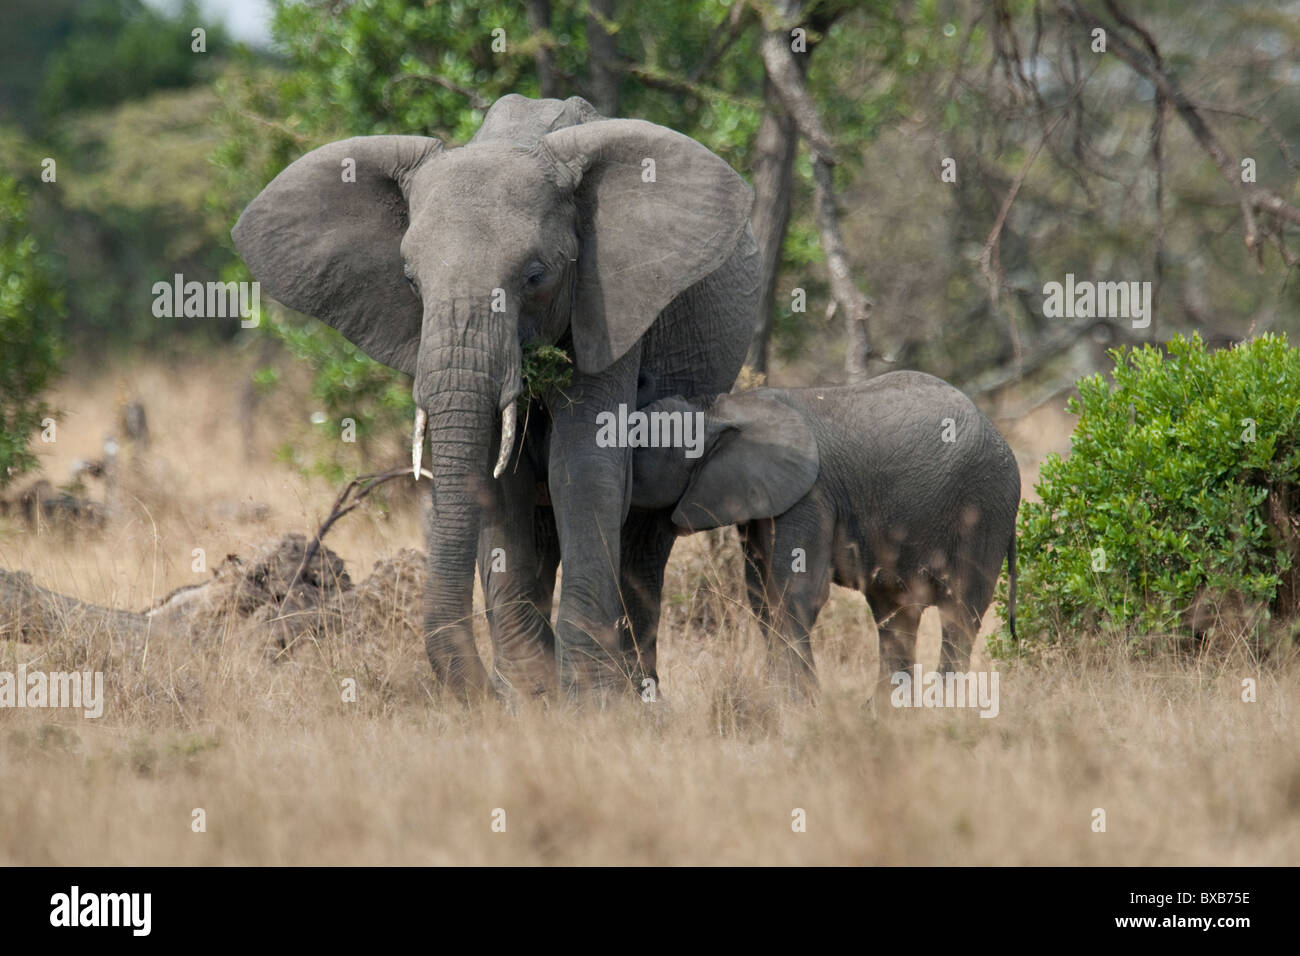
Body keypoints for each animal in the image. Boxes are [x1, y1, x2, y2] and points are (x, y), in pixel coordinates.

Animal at [232, 94, 761, 698]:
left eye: (535, 275)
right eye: (410, 281)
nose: (478, 690)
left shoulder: (608, 304)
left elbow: (584, 468)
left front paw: (590, 699)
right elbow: (497, 484)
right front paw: (530, 697)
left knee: (646, 540)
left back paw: (638, 693)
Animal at [628, 371, 1020, 694]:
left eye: (640, 442)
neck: (721, 409)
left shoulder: (810, 497)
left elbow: (797, 594)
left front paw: (799, 705)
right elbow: (762, 600)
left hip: (985, 508)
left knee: (960, 612)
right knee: (895, 614)